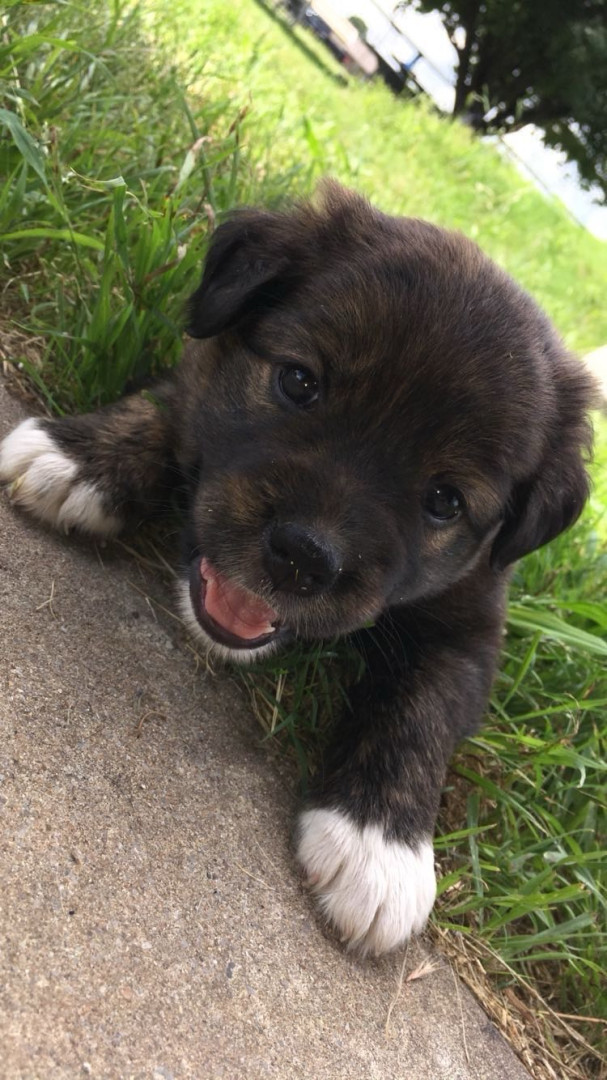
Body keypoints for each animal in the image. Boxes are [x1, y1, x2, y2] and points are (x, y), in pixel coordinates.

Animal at [0, 180, 596, 956]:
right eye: (297, 381)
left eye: (445, 500)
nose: (303, 556)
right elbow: (180, 398)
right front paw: (85, 455)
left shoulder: (471, 622)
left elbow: (421, 705)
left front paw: (378, 848)